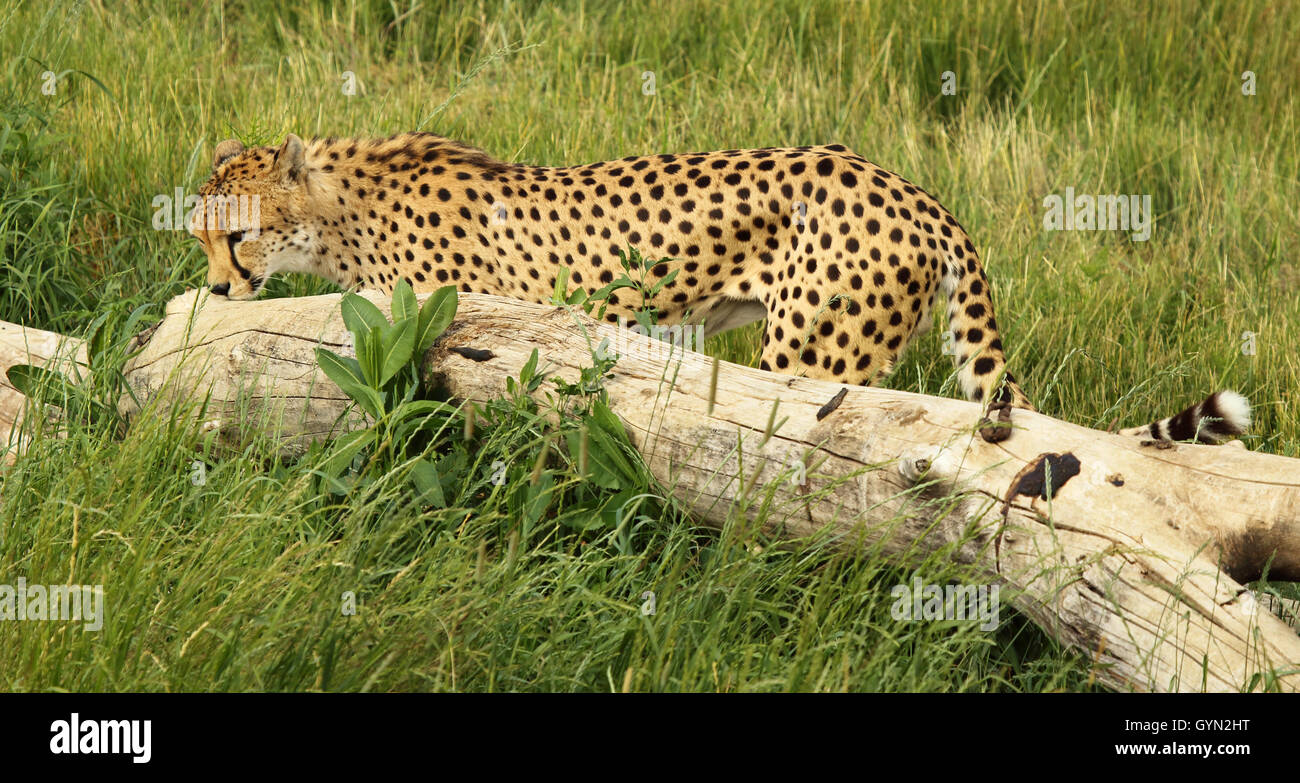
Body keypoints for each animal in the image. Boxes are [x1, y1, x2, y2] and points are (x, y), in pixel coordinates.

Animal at [189, 131, 1248, 442]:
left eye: (237, 237)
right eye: (201, 237)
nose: (221, 292)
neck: (337, 204)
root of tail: (918, 192)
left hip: (811, 355)